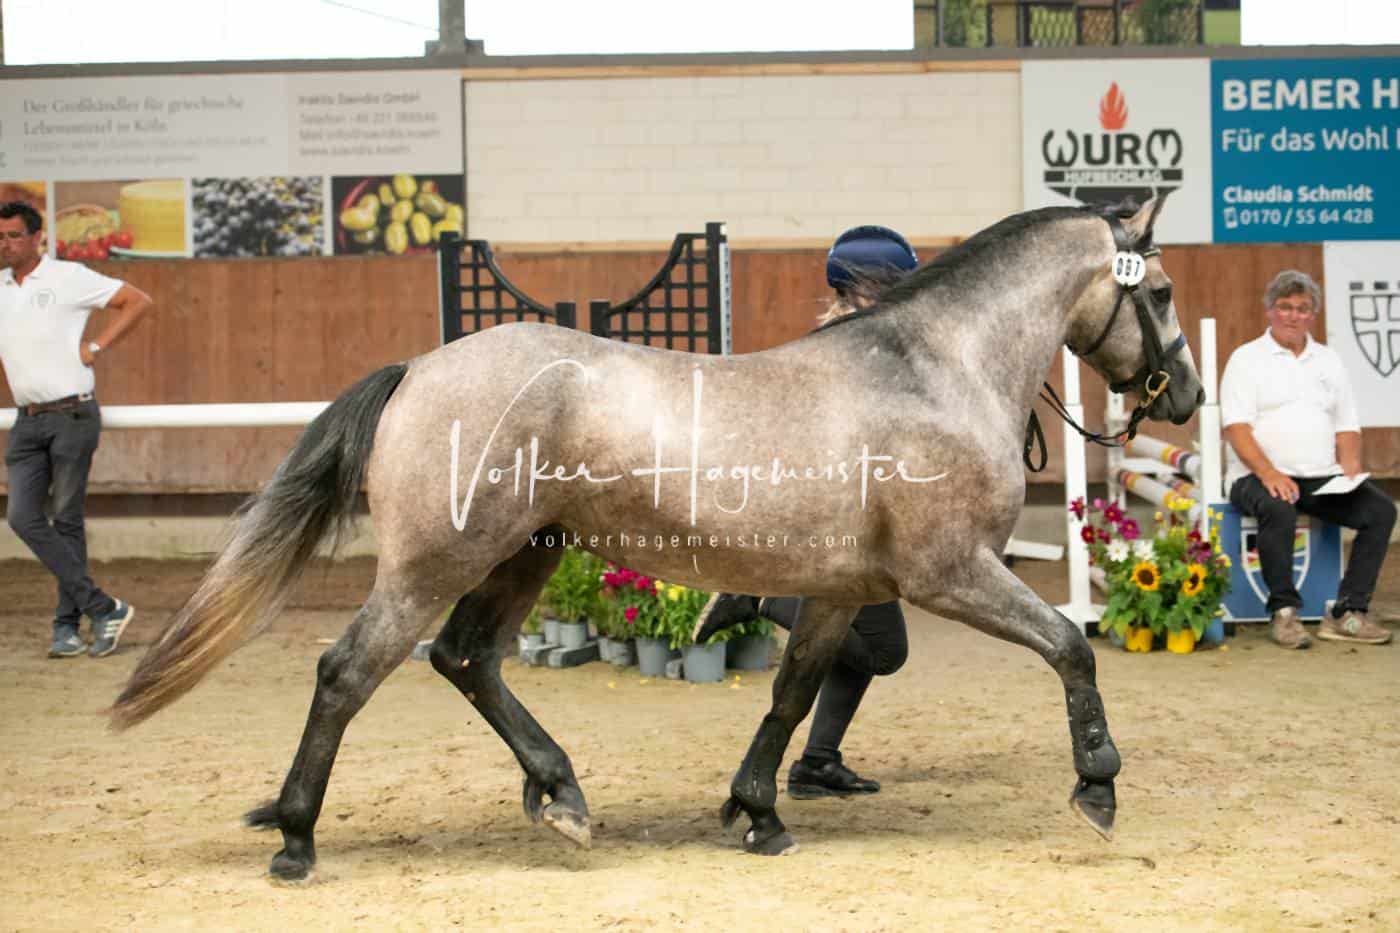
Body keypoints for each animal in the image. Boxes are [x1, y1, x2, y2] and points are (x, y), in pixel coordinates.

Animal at [111, 198, 1203, 878]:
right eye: (1156, 294)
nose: (1184, 396)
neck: (929, 370)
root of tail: (420, 368)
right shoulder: (950, 573)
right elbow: (1068, 647)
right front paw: (1097, 788)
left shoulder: (842, 588)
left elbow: (791, 692)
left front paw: (758, 812)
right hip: (439, 562)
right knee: (349, 670)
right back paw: (297, 839)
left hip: (525, 554)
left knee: (465, 659)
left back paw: (560, 794)